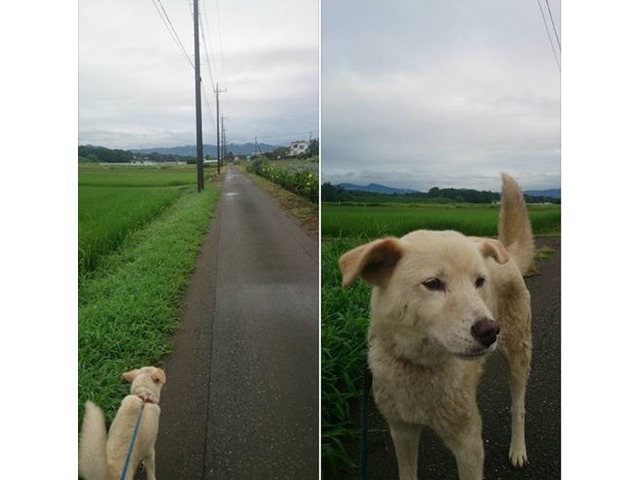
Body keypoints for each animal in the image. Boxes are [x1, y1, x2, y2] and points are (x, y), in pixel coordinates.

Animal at [340, 174, 536, 478]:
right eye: (433, 284)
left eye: (480, 282)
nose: (490, 331)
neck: (419, 366)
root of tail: (509, 255)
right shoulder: (401, 430)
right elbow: (407, 471)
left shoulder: (468, 444)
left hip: (518, 351)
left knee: (519, 406)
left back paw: (518, 449)